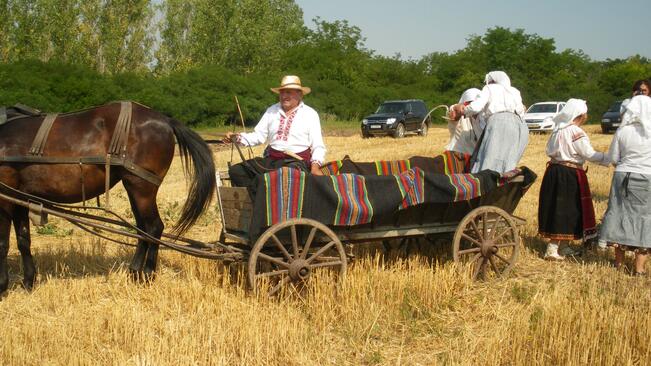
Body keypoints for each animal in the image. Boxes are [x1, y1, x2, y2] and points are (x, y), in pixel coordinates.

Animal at [0, 99, 216, 292]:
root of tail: (165, 120)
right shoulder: (19, 197)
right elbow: (23, 241)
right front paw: (28, 282)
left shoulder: (5, 198)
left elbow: (3, 243)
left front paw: (3, 286)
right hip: (133, 187)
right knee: (142, 228)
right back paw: (134, 271)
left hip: (142, 187)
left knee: (154, 227)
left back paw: (147, 274)